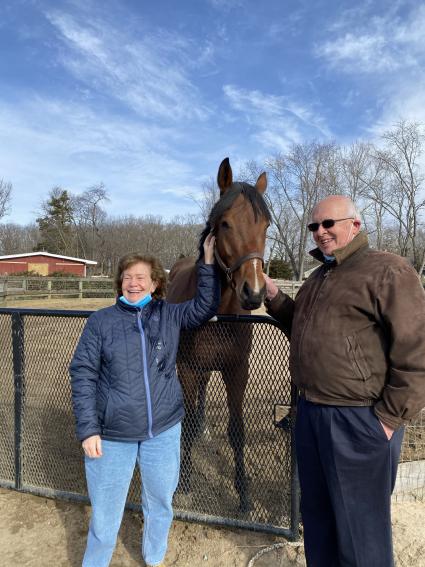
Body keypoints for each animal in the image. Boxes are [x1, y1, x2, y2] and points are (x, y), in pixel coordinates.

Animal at [166, 158, 270, 512]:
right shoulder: (187, 367)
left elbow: (237, 430)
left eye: (266, 226)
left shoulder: (237, 369)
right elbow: (184, 427)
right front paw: (183, 482)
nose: (254, 292)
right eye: (225, 224)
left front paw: (244, 495)